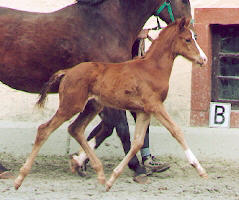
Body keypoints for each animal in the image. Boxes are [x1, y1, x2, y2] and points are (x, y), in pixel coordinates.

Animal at [0, 0, 190, 178]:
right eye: (184, 1)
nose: (192, 30)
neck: (105, 27)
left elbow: (106, 127)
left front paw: (80, 161)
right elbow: (120, 127)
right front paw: (137, 168)